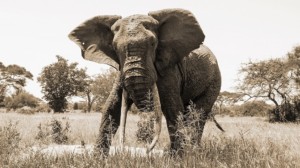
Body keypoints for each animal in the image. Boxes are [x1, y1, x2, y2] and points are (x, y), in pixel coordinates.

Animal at [69, 8, 221, 156]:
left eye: (153, 44)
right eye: (115, 48)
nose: (147, 150)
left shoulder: (169, 70)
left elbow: (172, 108)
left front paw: (179, 158)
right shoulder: (120, 71)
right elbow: (112, 108)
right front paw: (98, 159)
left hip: (214, 81)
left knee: (198, 114)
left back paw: (192, 151)